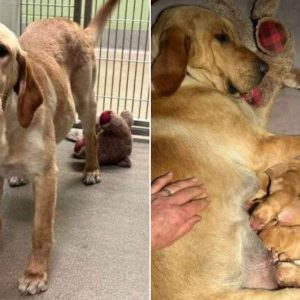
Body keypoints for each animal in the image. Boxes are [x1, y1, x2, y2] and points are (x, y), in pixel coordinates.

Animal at [0, 0, 118, 296]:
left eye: (2, 52)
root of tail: (73, 24)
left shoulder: (46, 176)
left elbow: (40, 232)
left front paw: (35, 274)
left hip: (85, 100)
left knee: (91, 135)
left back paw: (92, 170)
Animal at [152, 5, 300, 300]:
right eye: (221, 38)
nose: (264, 67)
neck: (188, 79)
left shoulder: (254, 121)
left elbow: (270, 93)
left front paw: (288, 73)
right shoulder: (260, 147)